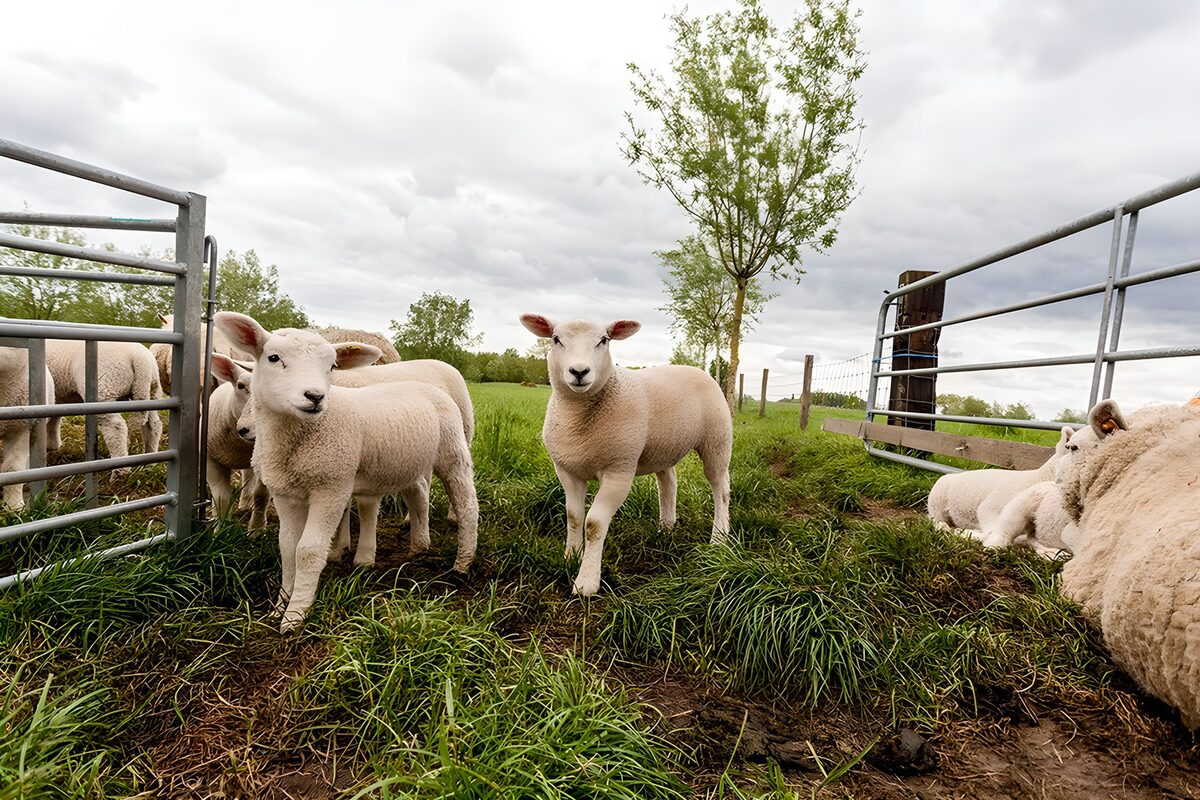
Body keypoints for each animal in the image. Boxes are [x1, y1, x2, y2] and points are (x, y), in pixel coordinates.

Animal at [205, 354, 269, 529]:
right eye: (240, 385)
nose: (248, 429)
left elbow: (261, 496)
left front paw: (256, 529)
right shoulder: (212, 461)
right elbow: (221, 498)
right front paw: (219, 528)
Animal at [214, 311, 479, 632]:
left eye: (332, 366)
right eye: (273, 358)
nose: (314, 396)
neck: (299, 438)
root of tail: (429, 386)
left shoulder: (332, 487)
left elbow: (308, 550)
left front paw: (295, 616)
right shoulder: (287, 495)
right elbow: (288, 549)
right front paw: (279, 607)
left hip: (453, 452)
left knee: (467, 505)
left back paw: (462, 563)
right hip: (410, 462)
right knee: (418, 495)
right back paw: (418, 546)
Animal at [519, 314, 732, 597]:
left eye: (604, 340)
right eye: (556, 339)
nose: (579, 372)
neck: (578, 420)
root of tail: (697, 369)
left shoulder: (619, 471)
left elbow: (594, 524)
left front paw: (586, 583)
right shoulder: (567, 471)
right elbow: (574, 517)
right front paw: (571, 556)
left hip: (717, 441)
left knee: (721, 489)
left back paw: (719, 539)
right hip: (663, 447)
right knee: (669, 482)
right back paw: (666, 528)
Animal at [926, 426, 1076, 538]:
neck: (1038, 477)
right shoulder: (990, 507)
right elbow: (994, 530)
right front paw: (965, 533)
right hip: (936, 500)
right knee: (934, 519)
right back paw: (944, 527)